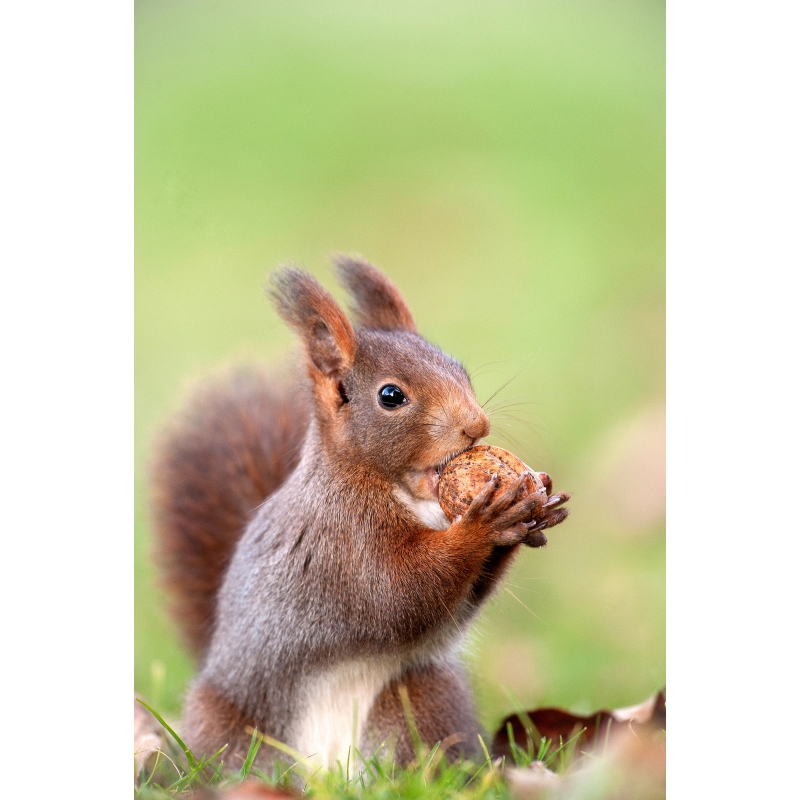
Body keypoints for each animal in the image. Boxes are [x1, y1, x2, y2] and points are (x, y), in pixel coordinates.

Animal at [150, 255, 570, 771]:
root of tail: (328, 774)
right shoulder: (341, 540)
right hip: (234, 728)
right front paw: (484, 523)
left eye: (460, 370)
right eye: (391, 396)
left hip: (422, 697)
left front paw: (536, 505)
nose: (477, 424)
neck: (406, 492)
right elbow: (399, 593)